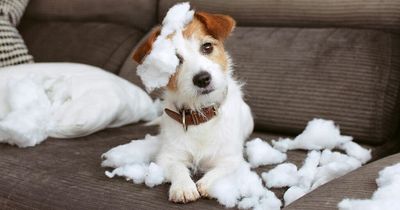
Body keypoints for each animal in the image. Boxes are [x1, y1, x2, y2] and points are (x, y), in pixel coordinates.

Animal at [132, 11, 253, 203]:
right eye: (175, 60)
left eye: (207, 47)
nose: (202, 79)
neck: (200, 114)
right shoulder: (168, 157)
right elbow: (178, 168)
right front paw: (183, 187)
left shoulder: (232, 159)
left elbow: (221, 170)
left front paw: (207, 183)